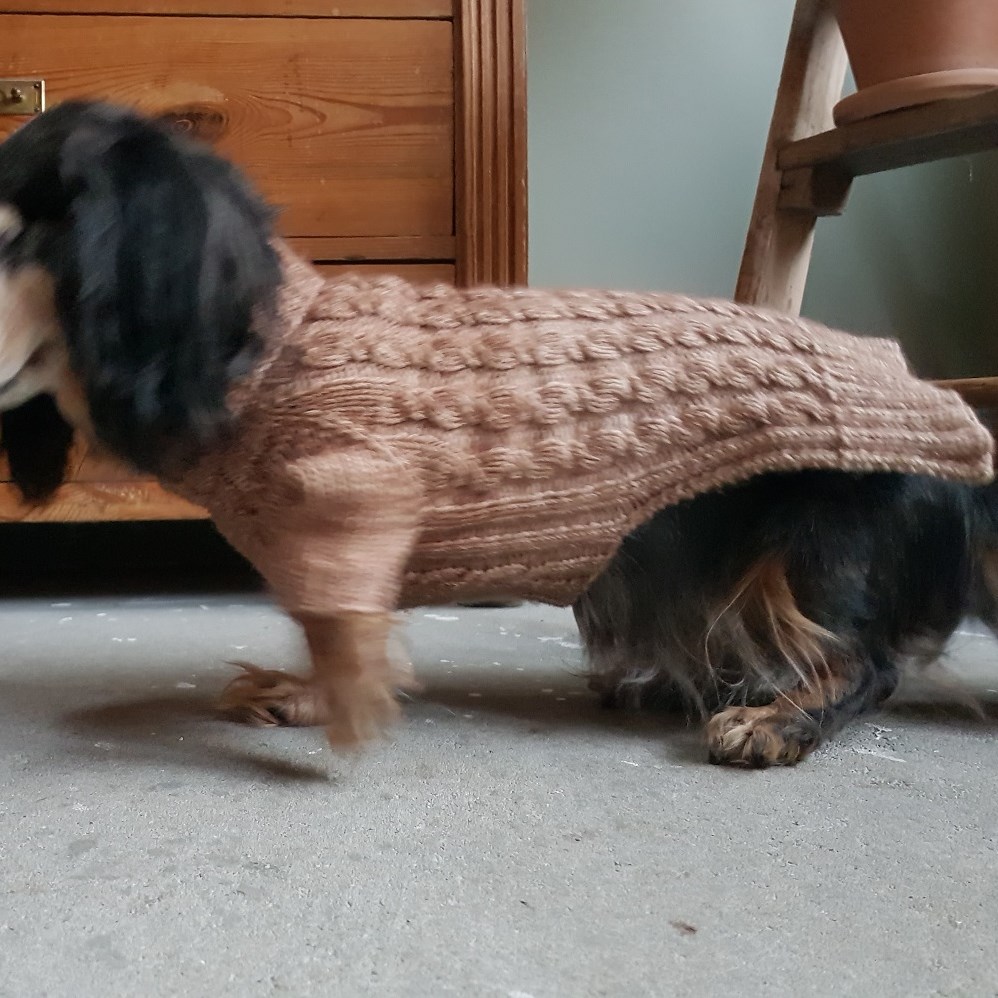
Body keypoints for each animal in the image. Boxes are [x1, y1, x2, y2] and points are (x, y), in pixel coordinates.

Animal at [1, 101, 998, 768]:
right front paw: (304, 691)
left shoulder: (357, 506)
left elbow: (337, 620)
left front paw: (337, 700)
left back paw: (776, 713)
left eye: (11, 240)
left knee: (866, 662)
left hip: (816, 542)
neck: (270, 344)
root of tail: (946, 411)